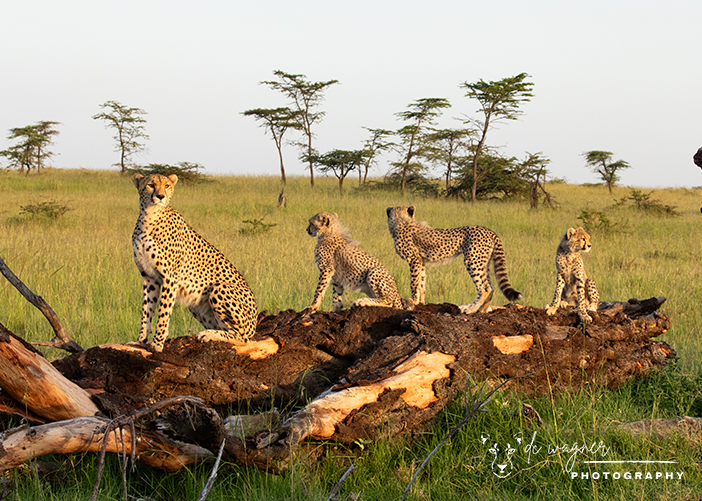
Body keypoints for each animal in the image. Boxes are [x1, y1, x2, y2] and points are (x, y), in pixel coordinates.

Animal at [131, 173, 257, 352]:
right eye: (150, 185)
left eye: (167, 186)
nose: (160, 196)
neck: (150, 216)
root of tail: (255, 323)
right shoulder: (149, 277)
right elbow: (146, 311)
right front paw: (140, 340)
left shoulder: (170, 278)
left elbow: (163, 313)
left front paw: (157, 344)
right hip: (196, 305)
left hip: (219, 288)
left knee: (243, 337)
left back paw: (208, 334)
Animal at [386, 206, 522, 314]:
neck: (402, 222)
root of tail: (488, 230)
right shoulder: (421, 261)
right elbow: (421, 282)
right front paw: (420, 302)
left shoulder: (414, 260)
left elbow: (414, 282)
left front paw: (413, 300)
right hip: (484, 262)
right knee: (491, 287)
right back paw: (482, 310)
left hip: (473, 261)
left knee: (484, 288)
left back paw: (471, 309)